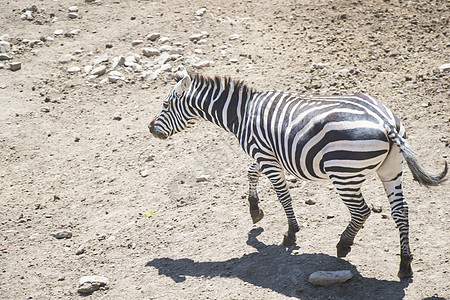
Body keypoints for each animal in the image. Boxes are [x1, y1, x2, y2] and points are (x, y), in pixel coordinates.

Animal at [148, 65, 446, 278]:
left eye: (165, 105)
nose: (150, 129)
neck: (242, 113)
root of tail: (385, 122)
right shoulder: (267, 154)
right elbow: (250, 173)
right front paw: (255, 210)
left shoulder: (265, 155)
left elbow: (282, 195)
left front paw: (290, 232)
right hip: (391, 168)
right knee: (401, 211)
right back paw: (405, 264)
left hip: (344, 174)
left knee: (361, 211)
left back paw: (343, 245)